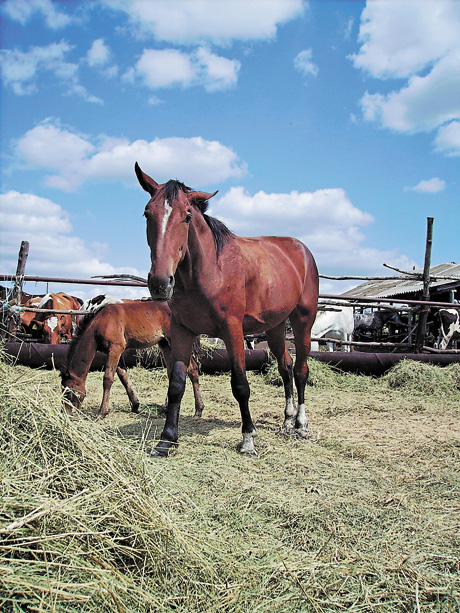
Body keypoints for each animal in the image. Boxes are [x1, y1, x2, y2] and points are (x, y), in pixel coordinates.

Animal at [60, 300, 204, 418]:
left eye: (68, 392)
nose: (65, 414)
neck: (101, 322)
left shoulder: (115, 349)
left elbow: (108, 378)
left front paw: (102, 411)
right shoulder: (114, 352)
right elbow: (123, 376)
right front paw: (135, 405)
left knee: (193, 369)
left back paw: (198, 410)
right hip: (165, 344)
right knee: (172, 373)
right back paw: (166, 409)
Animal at [135, 163, 318, 454]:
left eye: (187, 216)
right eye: (147, 213)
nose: (160, 283)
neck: (210, 271)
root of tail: (301, 250)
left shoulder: (233, 331)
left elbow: (240, 385)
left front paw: (248, 439)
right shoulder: (182, 331)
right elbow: (176, 384)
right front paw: (166, 440)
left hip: (303, 321)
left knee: (301, 369)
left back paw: (301, 423)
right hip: (276, 327)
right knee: (285, 366)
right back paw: (288, 421)